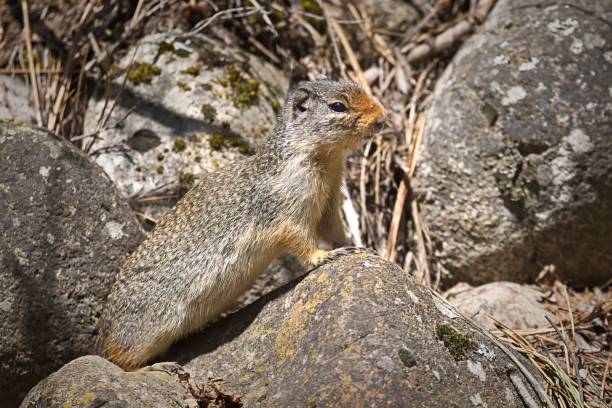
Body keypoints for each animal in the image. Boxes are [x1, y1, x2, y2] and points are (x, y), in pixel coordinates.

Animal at [94, 78, 382, 368]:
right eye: (338, 106)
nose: (381, 117)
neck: (323, 159)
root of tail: (105, 332)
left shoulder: (329, 204)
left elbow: (333, 230)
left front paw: (360, 247)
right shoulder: (286, 211)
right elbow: (300, 239)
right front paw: (326, 256)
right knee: (118, 359)